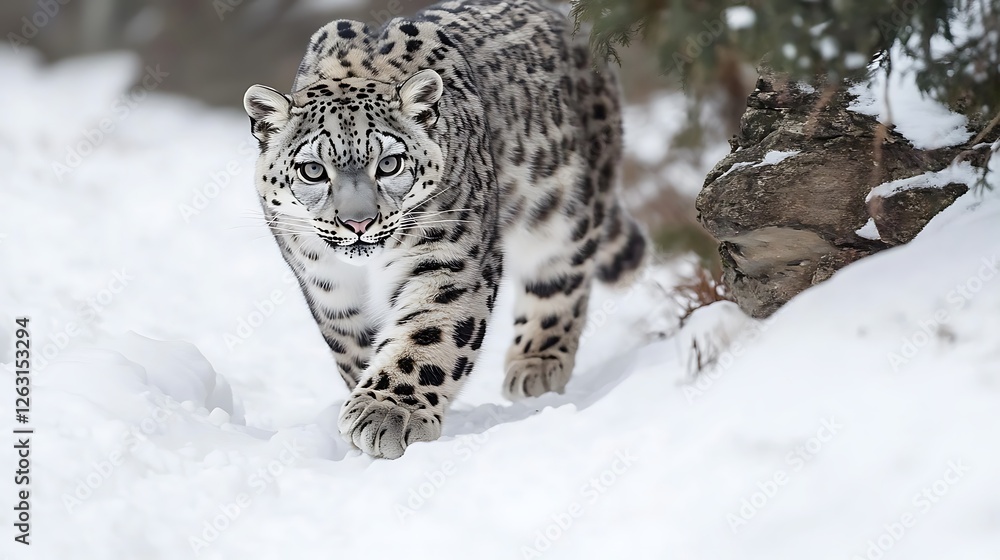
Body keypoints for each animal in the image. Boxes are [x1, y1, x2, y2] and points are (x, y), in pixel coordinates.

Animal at [243, 0, 646, 459]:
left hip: (564, 207)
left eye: (389, 163)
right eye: (312, 170)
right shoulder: (325, 282)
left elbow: (427, 333)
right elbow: (352, 345)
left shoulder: (449, 259)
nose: (358, 222)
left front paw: (386, 411)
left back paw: (536, 365)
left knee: (561, 277)